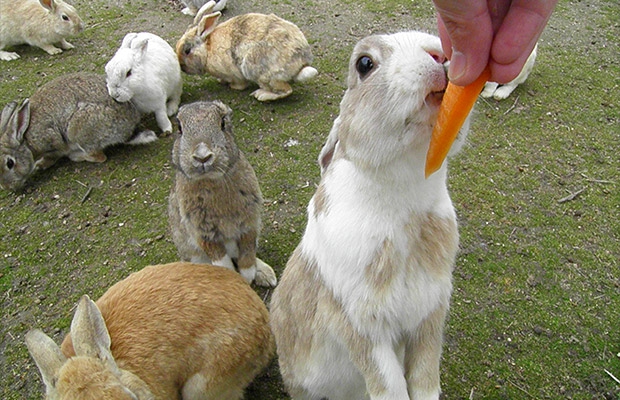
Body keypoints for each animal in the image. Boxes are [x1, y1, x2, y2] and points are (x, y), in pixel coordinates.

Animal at [1, 73, 156, 192]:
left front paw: (40, 165)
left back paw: (77, 156)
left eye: (10, 163)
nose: (7, 187)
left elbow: (52, 156)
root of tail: (129, 129)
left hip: (78, 130)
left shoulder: (52, 142)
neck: (25, 140)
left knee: (98, 156)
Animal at [168, 100, 278, 288]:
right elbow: (221, 260)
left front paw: (248, 275)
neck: (211, 181)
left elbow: (247, 253)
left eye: (222, 124)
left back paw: (266, 275)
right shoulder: (202, 231)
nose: (202, 157)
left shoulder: (250, 222)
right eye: (180, 129)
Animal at [177, 1, 318, 101]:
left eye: (187, 51)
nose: (182, 67)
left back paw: (261, 95)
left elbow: (239, 83)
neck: (207, 49)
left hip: (256, 70)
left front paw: (233, 87)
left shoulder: (233, 73)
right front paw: (220, 81)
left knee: (285, 90)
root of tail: (301, 62)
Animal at [270, 31, 470, 400]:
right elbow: (390, 386)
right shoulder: (361, 326)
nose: (440, 55)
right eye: (364, 63)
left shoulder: (429, 316)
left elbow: (425, 381)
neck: (404, 207)